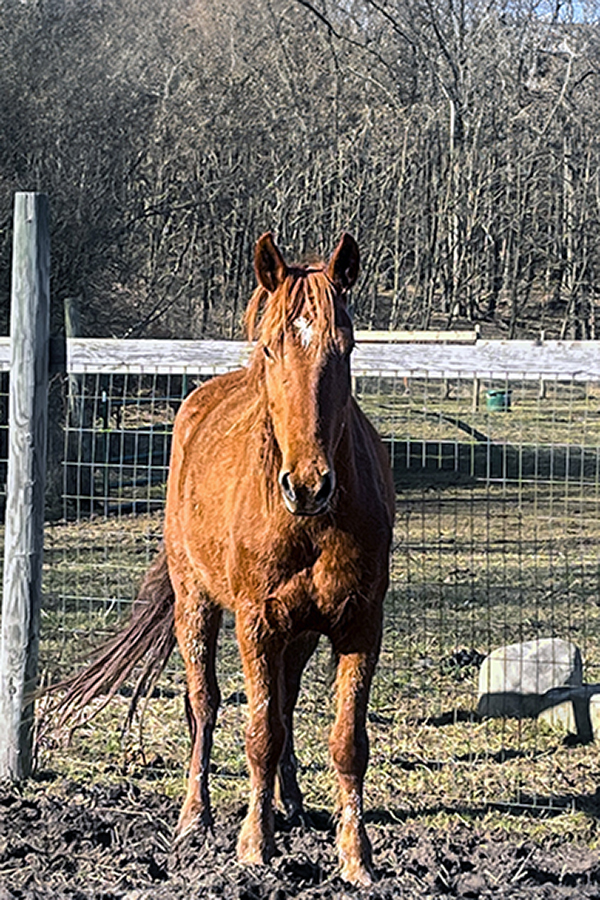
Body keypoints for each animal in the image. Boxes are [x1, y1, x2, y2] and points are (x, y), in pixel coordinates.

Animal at [55, 232, 395, 887]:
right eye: (271, 345)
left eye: (345, 347)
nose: (308, 485)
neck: (312, 522)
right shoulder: (256, 622)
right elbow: (258, 732)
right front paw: (253, 848)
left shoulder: (359, 624)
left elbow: (345, 741)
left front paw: (355, 857)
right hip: (197, 605)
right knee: (204, 704)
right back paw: (196, 818)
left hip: (299, 634)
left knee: (285, 703)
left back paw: (293, 805)